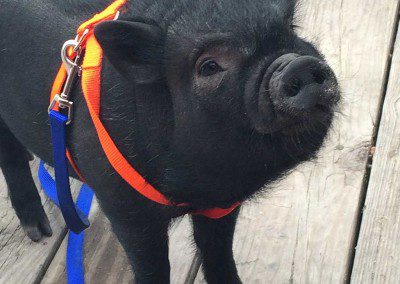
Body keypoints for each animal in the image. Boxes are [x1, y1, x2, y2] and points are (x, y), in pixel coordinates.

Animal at [0, 1, 340, 282]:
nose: (298, 65)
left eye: (291, 29)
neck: (198, 188)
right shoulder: (125, 209)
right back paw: (39, 232)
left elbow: (218, 250)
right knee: (10, 157)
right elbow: (152, 266)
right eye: (208, 66)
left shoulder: (222, 206)